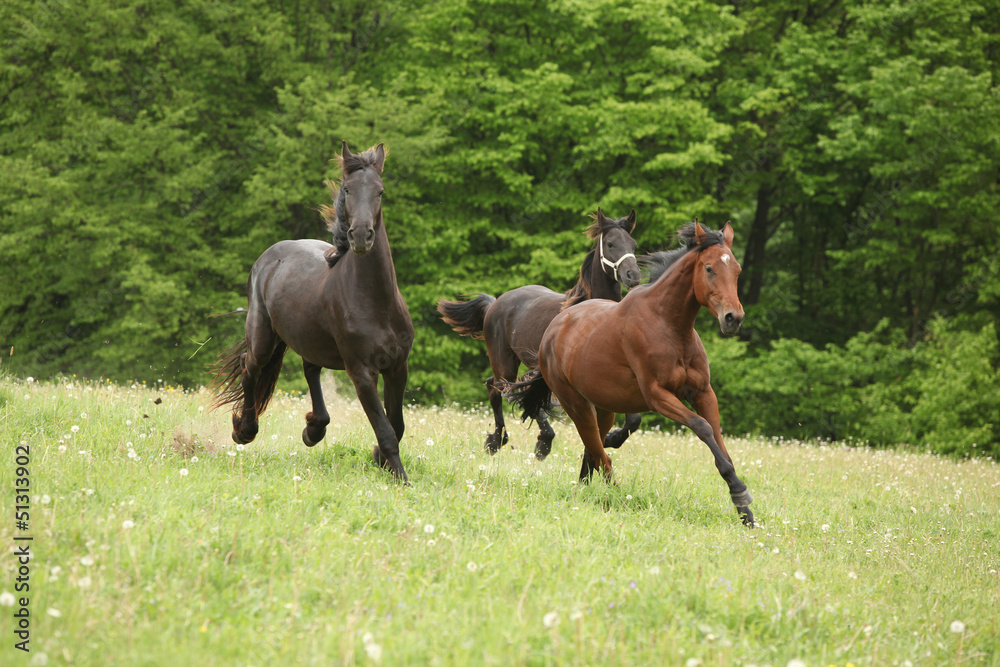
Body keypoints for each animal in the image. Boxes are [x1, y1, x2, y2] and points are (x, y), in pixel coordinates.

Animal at [212, 141, 414, 482]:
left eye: (381, 191)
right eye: (347, 189)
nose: (361, 236)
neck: (375, 302)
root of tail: (270, 256)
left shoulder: (397, 367)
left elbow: (396, 424)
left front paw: (381, 461)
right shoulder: (361, 373)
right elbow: (386, 430)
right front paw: (400, 478)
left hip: (309, 337)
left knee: (310, 369)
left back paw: (313, 430)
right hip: (262, 335)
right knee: (249, 367)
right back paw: (244, 430)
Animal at [437, 209, 643, 459]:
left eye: (633, 244)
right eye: (611, 243)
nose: (633, 275)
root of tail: (496, 302)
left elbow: (633, 418)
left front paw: (611, 439)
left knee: (502, 386)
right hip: (504, 360)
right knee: (500, 389)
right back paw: (503, 440)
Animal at [506, 221, 755, 526]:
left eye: (737, 270)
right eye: (709, 268)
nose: (733, 318)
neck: (669, 325)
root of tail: (552, 330)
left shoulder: (703, 393)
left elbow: (719, 439)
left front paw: (744, 510)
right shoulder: (657, 396)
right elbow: (702, 427)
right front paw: (740, 491)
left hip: (603, 408)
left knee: (593, 450)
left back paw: (587, 487)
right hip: (576, 405)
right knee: (600, 455)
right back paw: (616, 495)